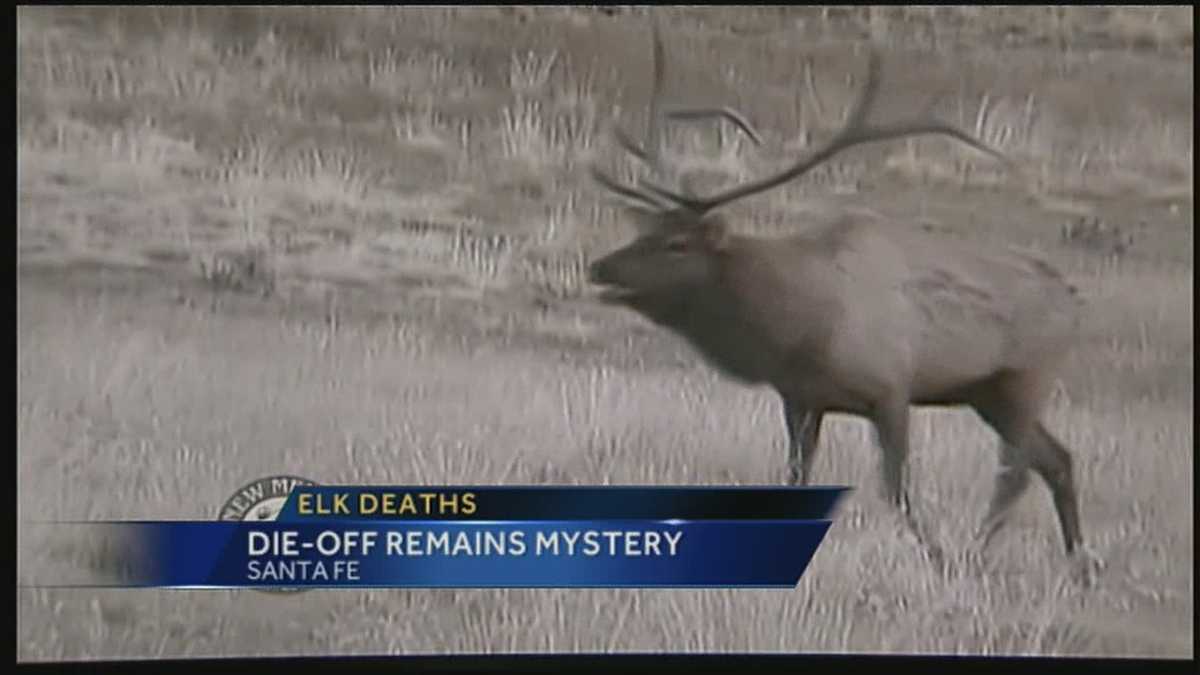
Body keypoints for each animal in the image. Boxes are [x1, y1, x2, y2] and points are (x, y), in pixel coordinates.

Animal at [586, 22, 1099, 575]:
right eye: (645, 230)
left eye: (677, 243)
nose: (600, 267)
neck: (800, 329)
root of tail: (1075, 302)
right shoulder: (800, 398)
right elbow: (796, 478)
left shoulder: (892, 389)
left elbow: (896, 490)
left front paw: (936, 555)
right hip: (988, 393)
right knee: (1058, 459)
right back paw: (1080, 566)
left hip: (1026, 378)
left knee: (1016, 472)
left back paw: (978, 551)